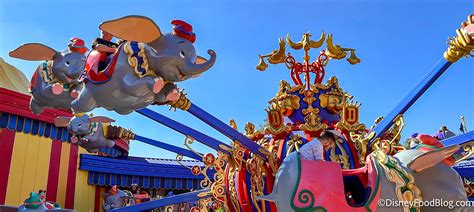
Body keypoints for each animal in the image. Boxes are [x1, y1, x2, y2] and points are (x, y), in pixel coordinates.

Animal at [71, 15, 217, 114]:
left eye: (194, 59)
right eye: (182, 53)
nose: (210, 51)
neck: (144, 58)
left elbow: (162, 95)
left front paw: (174, 92)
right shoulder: (123, 75)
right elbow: (132, 85)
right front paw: (157, 83)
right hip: (87, 96)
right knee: (78, 106)